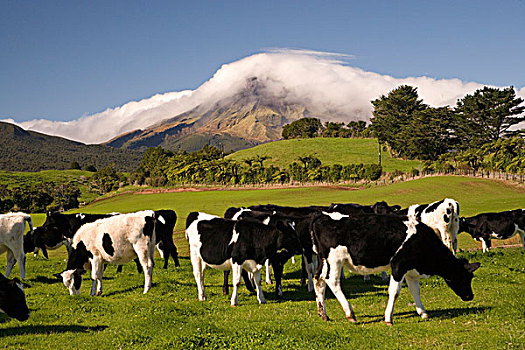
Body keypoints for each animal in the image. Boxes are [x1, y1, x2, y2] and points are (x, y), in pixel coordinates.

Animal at [312, 212, 478, 326]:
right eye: (464, 277)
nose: (470, 296)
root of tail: (322, 217)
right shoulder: (398, 265)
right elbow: (394, 291)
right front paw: (388, 318)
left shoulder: (410, 270)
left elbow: (415, 290)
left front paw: (423, 312)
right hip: (335, 259)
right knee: (332, 281)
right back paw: (350, 314)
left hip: (323, 260)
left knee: (318, 279)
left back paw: (323, 314)